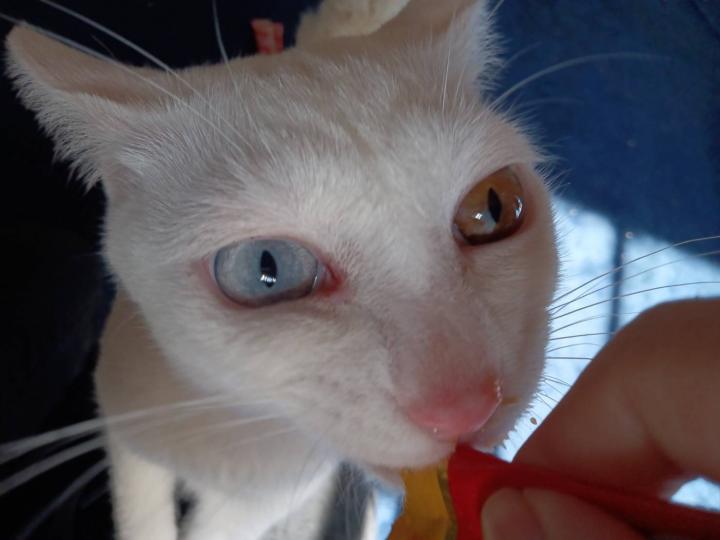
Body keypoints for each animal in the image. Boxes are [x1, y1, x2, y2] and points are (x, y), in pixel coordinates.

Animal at [4, 0, 558, 538]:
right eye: (265, 267)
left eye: (492, 208)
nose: (470, 405)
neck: (234, 425)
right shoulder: (125, 433)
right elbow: (141, 515)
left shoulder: (261, 503)